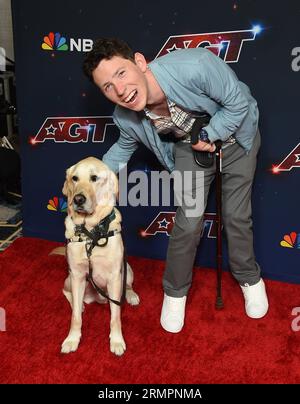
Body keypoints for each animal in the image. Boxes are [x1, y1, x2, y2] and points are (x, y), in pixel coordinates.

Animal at [59, 156, 139, 356]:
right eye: (74, 178)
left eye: (94, 178)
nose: (78, 199)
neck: (91, 233)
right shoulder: (77, 275)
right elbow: (75, 317)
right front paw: (72, 339)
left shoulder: (115, 277)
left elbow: (115, 316)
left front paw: (116, 340)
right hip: (69, 279)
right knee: (67, 294)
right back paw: (80, 305)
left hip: (127, 269)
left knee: (127, 286)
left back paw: (131, 295)